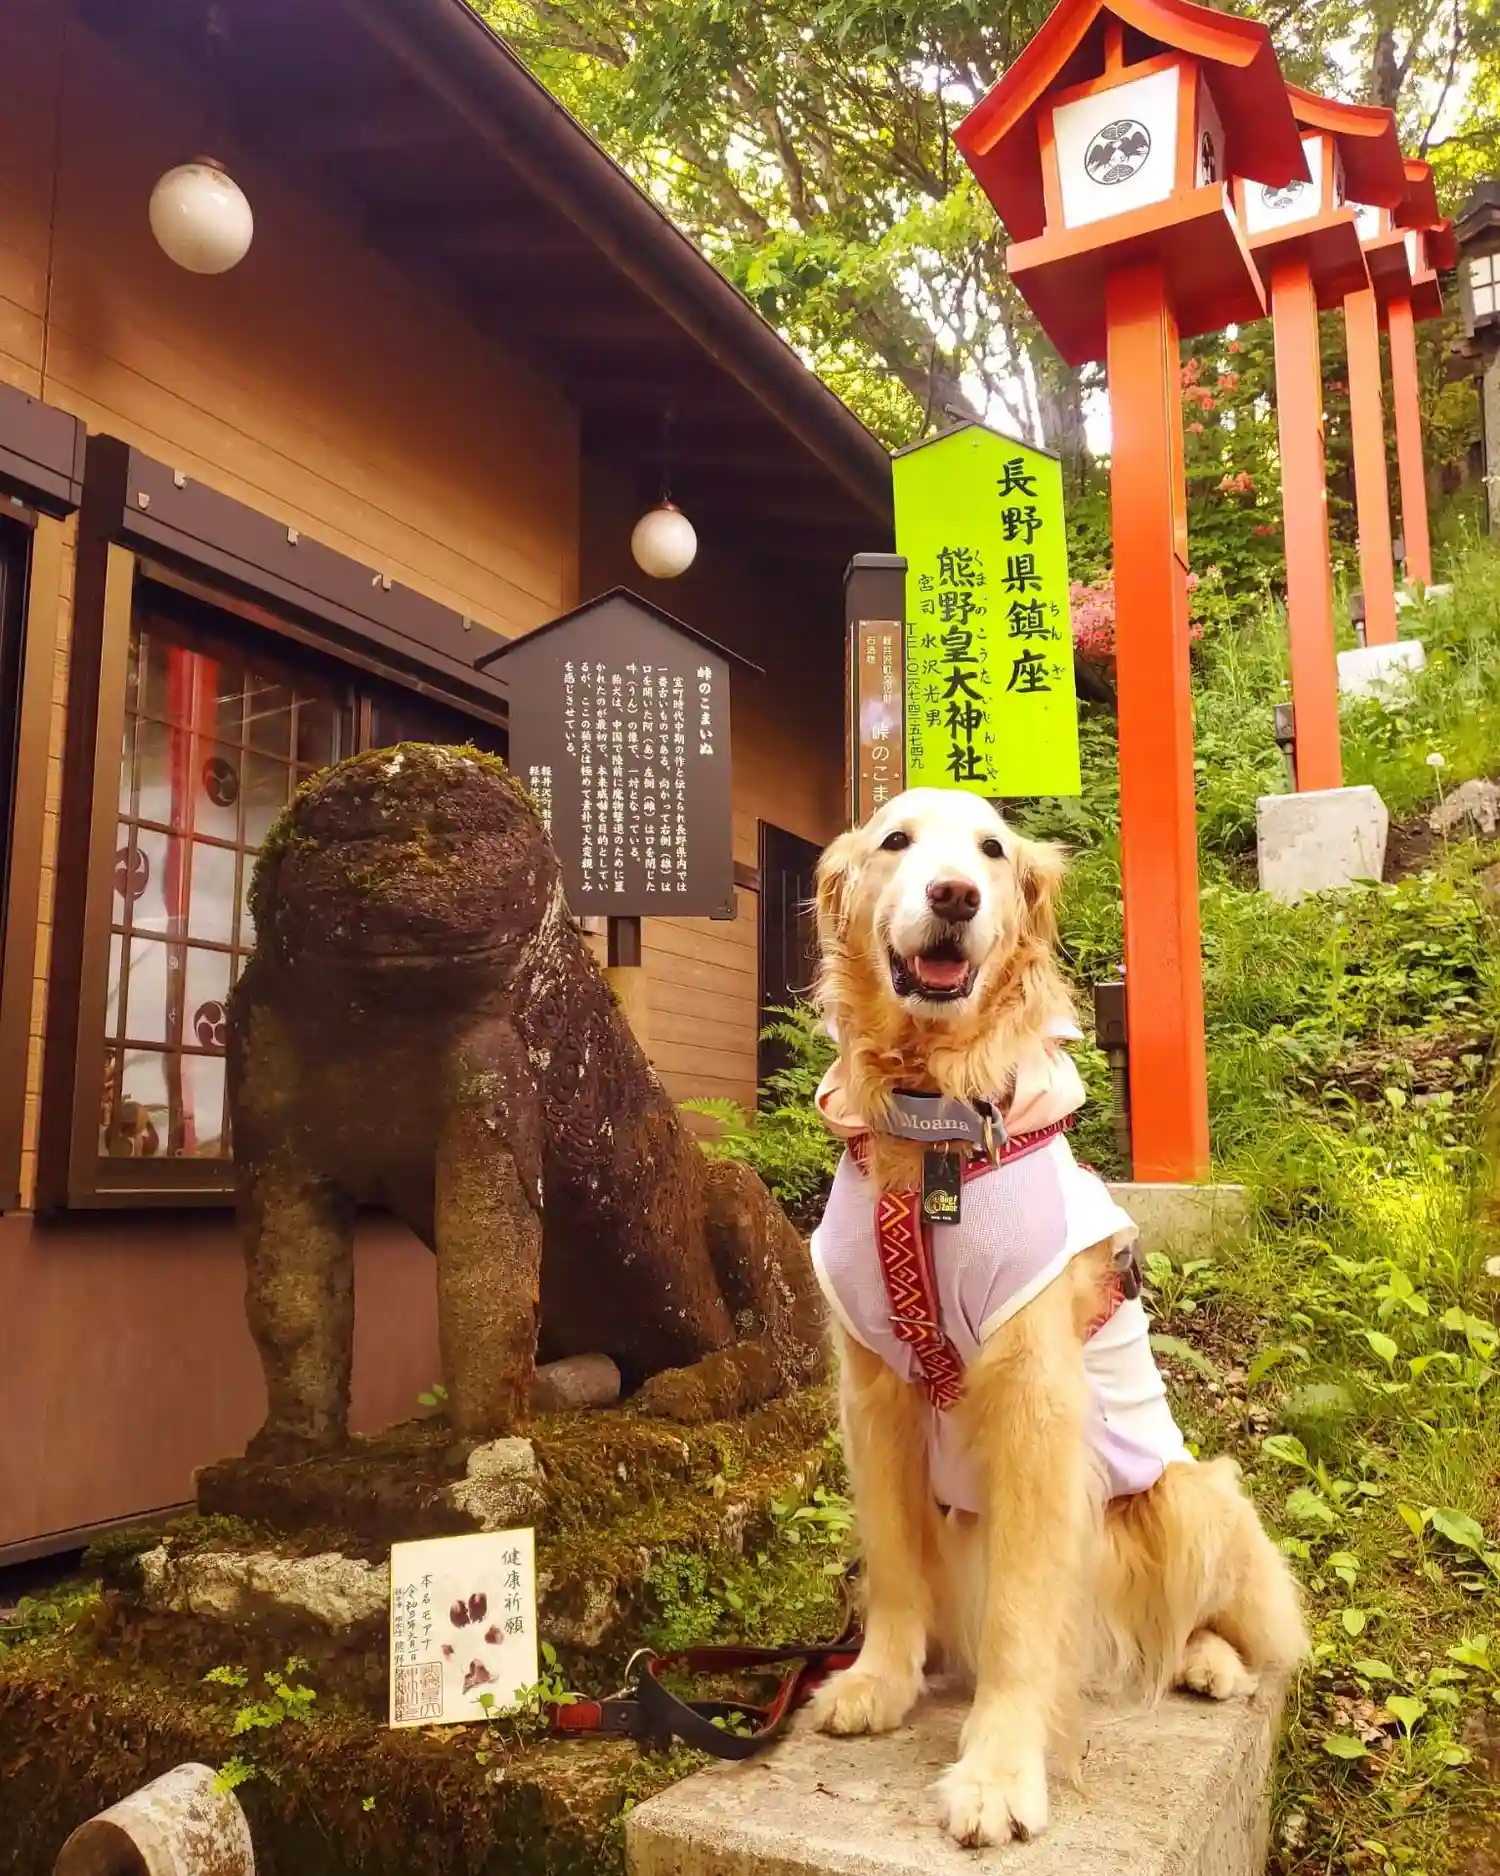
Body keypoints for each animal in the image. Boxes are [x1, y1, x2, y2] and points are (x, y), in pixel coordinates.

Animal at [803, 787, 1307, 1848]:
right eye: (896, 842)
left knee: (1237, 1628)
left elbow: (1021, 1617)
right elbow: (893, 1565)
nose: (954, 895)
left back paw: (1208, 1661)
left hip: (1196, 1495)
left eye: (992, 852)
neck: (934, 1129)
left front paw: (998, 1775)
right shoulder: (873, 1394)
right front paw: (877, 1681)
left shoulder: (1032, 1399)